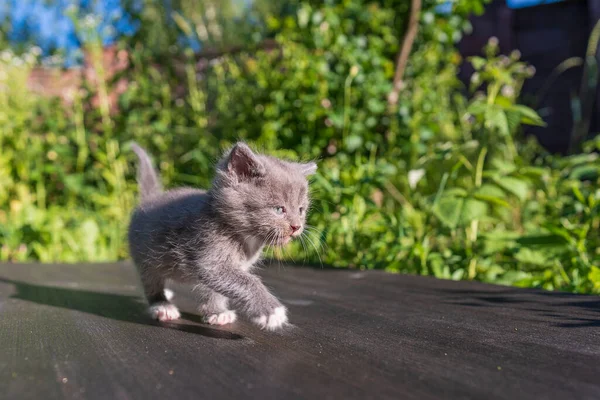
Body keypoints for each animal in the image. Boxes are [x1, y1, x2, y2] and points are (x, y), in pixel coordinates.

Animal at [128, 142, 316, 330]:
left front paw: (217, 312)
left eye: (301, 210)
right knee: (151, 281)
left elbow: (217, 289)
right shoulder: (208, 254)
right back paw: (161, 305)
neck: (246, 237)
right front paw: (271, 311)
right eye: (279, 209)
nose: (296, 226)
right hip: (145, 255)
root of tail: (151, 199)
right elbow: (246, 281)